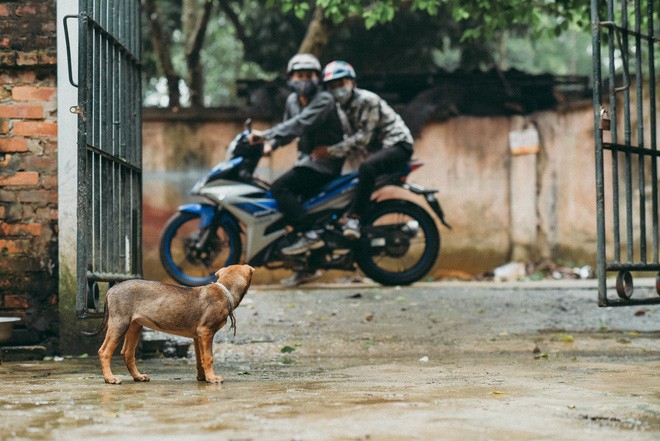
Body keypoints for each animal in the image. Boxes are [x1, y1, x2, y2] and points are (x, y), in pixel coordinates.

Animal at [82, 262, 255, 384]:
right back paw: (110, 378)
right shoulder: (206, 331)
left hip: (134, 327)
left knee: (127, 353)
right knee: (104, 351)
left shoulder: (197, 336)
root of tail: (110, 291)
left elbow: (200, 359)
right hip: (119, 324)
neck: (225, 291)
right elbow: (209, 357)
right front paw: (212, 379)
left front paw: (203, 377)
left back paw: (138, 376)